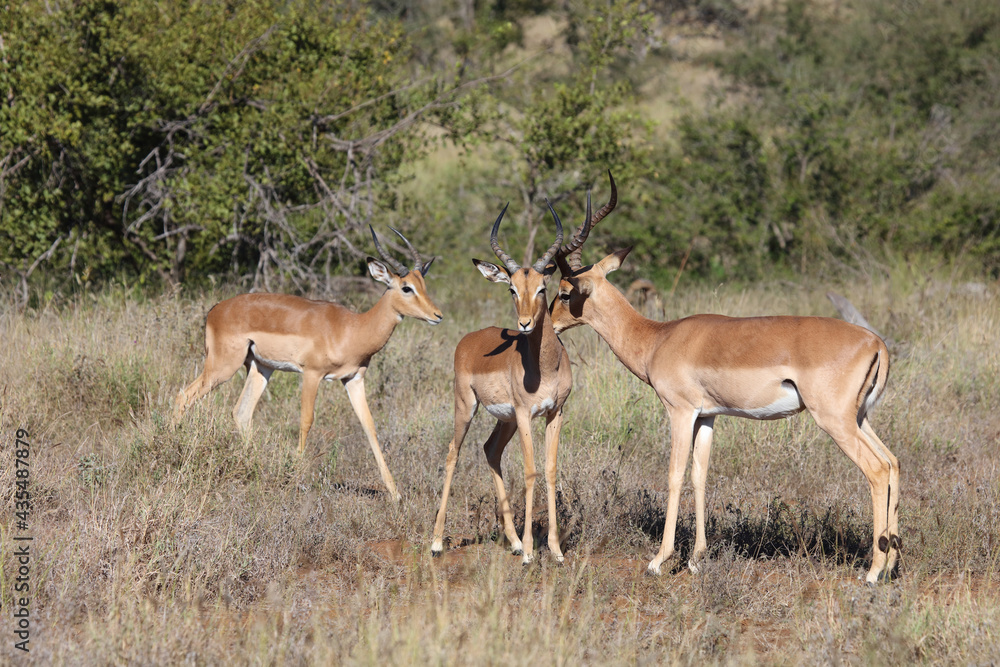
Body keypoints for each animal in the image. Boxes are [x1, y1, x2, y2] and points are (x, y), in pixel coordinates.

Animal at [173, 227, 443, 502]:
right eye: (406, 287)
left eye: (423, 285)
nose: (438, 315)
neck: (352, 328)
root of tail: (215, 309)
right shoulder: (312, 374)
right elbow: (306, 420)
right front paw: (294, 478)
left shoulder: (354, 379)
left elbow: (369, 426)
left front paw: (395, 493)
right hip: (222, 367)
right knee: (183, 395)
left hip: (260, 368)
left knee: (241, 412)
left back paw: (257, 466)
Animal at [430, 201, 585, 564]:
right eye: (512, 289)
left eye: (542, 288)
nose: (525, 323)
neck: (544, 367)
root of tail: (469, 339)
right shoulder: (527, 415)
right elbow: (530, 472)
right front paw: (530, 552)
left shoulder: (556, 413)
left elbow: (549, 470)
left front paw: (555, 551)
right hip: (466, 407)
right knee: (452, 454)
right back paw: (436, 544)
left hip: (506, 420)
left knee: (490, 450)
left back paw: (512, 541)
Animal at [550, 173, 900, 583]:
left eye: (564, 292)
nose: (543, 324)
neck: (658, 338)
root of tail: (876, 342)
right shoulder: (708, 416)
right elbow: (700, 475)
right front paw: (696, 558)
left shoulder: (680, 411)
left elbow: (674, 474)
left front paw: (659, 560)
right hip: (859, 417)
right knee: (893, 462)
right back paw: (891, 563)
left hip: (835, 420)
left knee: (877, 469)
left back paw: (874, 572)